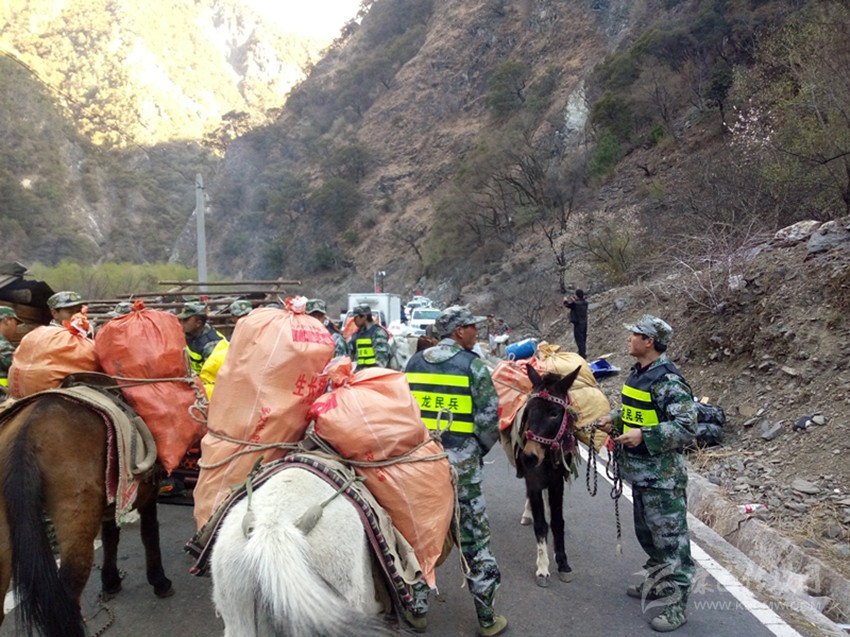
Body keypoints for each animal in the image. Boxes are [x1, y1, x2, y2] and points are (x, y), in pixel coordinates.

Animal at [0, 390, 173, 637]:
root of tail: (27, 430)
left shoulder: (112, 498)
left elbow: (111, 538)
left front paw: (110, 581)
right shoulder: (148, 494)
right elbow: (150, 534)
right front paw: (159, 580)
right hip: (77, 520)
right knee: (66, 596)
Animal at [513, 364, 581, 588]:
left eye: (554, 413)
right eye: (528, 411)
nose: (528, 457)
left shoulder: (557, 483)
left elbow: (558, 522)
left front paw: (563, 564)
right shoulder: (533, 480)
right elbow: (542, 525)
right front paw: (543, 568)